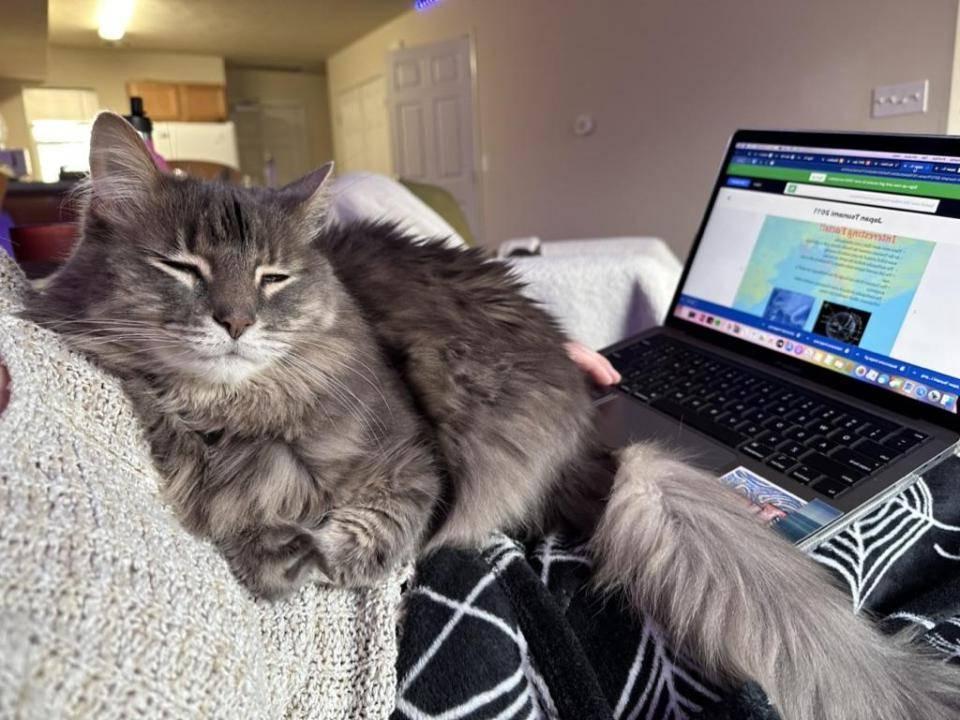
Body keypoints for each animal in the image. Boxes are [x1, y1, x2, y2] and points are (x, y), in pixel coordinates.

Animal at [26, 111, 960, 720]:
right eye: (181, 267)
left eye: (272, 279)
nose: (234, 321)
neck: (238, 410)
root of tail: (593, 444)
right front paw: (271, 546)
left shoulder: (415, 464)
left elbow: (370, 532)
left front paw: (300, 554)